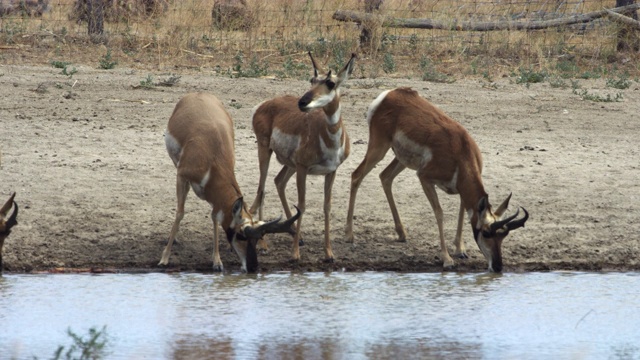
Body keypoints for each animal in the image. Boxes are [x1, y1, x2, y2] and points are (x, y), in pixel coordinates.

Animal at [159, 93, 302, 272]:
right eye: (241, 235)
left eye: (257, 238)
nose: (253, 267)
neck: (213, 156)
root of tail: (199, 94)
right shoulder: (182, 176)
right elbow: (180, 212)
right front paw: (164, 258)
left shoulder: (216, 196)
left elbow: (214, 217)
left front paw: (217, 262)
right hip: (176, 165)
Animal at [249, 52, 358, 262]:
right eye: (312, 79)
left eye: (330, 83)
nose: (302, 102)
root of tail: (265, 104)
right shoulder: (303, 168)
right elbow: (302, 204)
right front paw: (295, 254)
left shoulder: (331, 172)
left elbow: (327, 207)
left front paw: (329, 253)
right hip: (265, 151)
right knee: (261, 189)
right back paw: (264, 245)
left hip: (289, 164)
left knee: (278, 182)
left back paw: (295, 236)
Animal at [348, 88, 528, 272]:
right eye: (486, 233)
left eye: (504, 235)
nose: (498, 267)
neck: (461, 151)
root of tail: (389, 94)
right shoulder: (424, 177)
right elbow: (439, 212)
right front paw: (447, 259)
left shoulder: (462, 189)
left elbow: (462, 211)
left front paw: (460, 250)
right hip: (379, 148)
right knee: (356, 175)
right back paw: (349, 235)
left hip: (401, 159)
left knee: (385, 177)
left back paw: (402, 233)